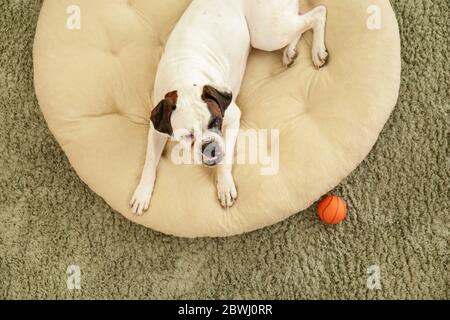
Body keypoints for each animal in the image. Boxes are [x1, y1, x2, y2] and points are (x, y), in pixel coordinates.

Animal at [130, 0, 326, 215]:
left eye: (216, 122)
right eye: (187, 136)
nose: (210, 147)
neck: (184, 78)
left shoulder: (232, 118)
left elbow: (225, 161)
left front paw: (224, 185)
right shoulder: (156, 129)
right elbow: (149, 162)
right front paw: (142, 192)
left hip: (266, 34)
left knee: (317, 13)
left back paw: (317, 50)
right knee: (299, 21)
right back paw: (290, 52)